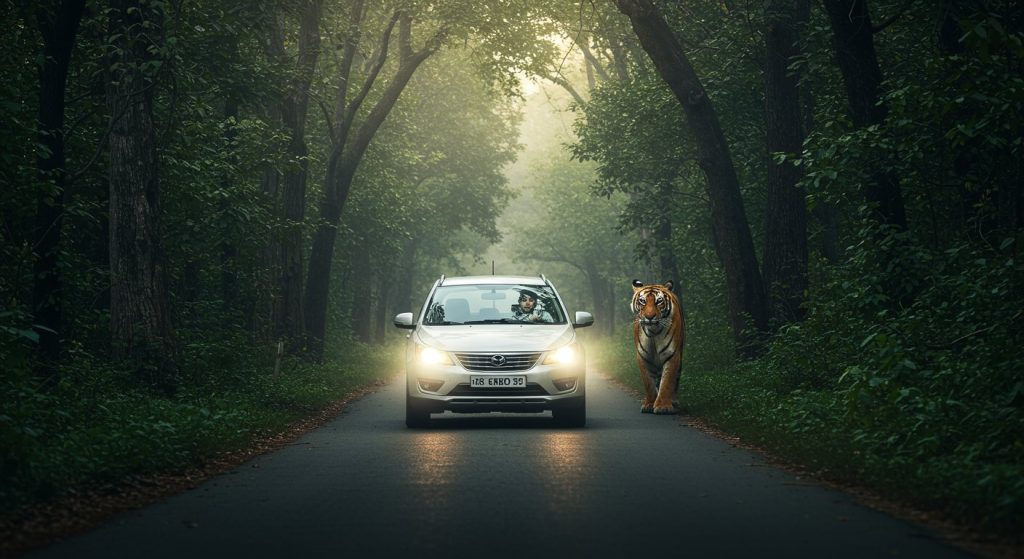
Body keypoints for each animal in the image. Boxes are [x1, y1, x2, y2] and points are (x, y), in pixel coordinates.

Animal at [631, 279, 686, 414]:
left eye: (659, 301)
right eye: (642, 301)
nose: (649, 317)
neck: (653, 332)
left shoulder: (672, 355)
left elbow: (667, 382)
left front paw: (663, 406)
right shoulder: (643, 356)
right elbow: (649, 383)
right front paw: (649, 404)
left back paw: (674, 401)